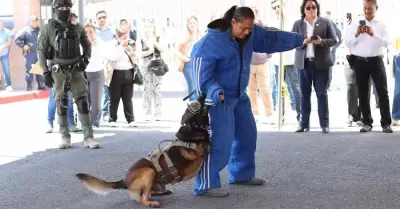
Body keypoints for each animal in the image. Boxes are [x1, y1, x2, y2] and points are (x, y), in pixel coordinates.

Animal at [76, 94, 211, 207]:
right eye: (196, 105)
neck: (193, 129)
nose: (202, 93)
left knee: (147, 193)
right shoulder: (200, 153)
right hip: (149, 172)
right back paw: (151, 203)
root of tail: (124, 181)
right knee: (142, 198)